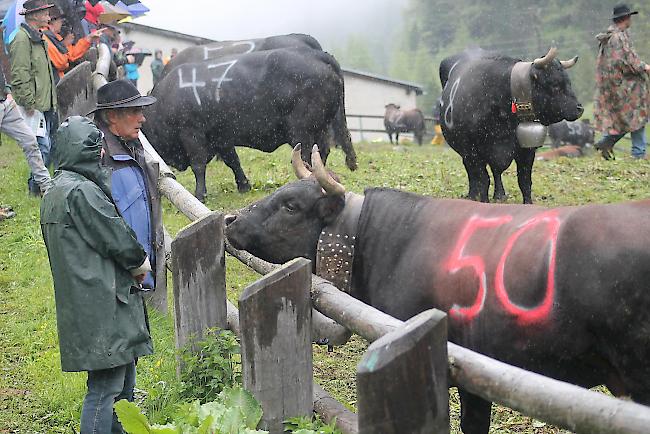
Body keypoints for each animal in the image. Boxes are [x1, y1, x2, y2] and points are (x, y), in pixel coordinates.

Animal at [438, 48, 580, 204]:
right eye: (555, 84)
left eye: (569, 82)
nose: (579, 108)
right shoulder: (472, 150)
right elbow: (483, 180)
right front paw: (482, 201)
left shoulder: (527, 149)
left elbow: (524, 181)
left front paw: (528, 204)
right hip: (466, 152)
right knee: (473, 173)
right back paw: (473, 195)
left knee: (495, 171)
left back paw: (499, 195)